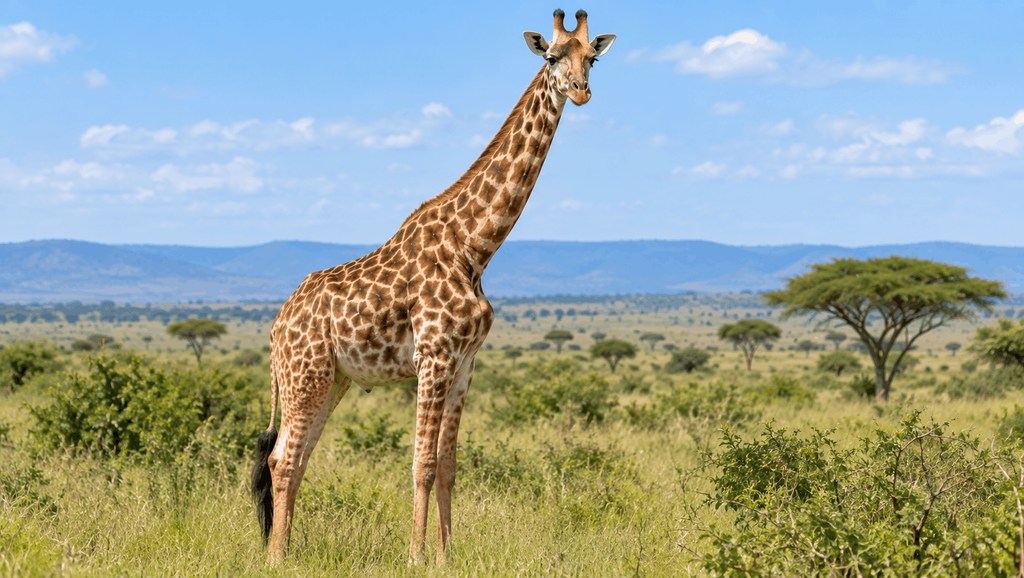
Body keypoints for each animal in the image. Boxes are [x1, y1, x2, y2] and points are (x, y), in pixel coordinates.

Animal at [250, 9, 615, 562]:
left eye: (592, 58)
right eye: (552, 57)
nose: (580, 92)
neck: (475, 247)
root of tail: (276, 325)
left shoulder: (465, 363)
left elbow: (447, 466)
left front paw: (446, 555)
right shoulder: (434, 356)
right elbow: (420, 464)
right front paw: (416, 555)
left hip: (331, 380)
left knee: (298, 455)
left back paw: (288, 551)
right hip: (304, 374)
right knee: (283, 459)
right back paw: (276, 557)